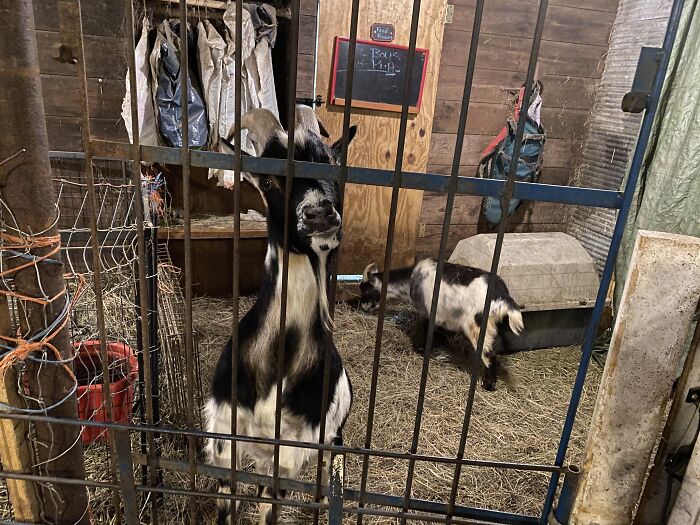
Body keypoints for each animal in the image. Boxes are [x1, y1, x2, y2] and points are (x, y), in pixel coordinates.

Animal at [208, 108, 357, 525]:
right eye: (269, 180)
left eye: (332, 168)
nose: (319, 213)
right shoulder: (225, 432)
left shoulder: (290, 449)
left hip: (329, 440)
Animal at [359, 258, 524, 390]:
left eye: (365, 290)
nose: (361, 307)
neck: (410, 281)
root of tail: (502, 296)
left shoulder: (430, 313)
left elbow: (426, 331)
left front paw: (421, 350)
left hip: (477, 327)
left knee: (489, 354)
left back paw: (488, 385)